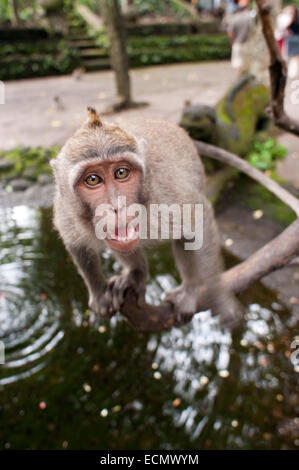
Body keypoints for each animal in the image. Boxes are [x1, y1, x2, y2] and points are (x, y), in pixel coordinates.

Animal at [51, 107, 241, 328]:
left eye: (121, 172)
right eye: (92, 179)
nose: (118, 206)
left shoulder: (167, 198)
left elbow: (200, 222)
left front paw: (219, 299)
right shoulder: (66, 210)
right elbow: (76, 244)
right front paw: (99, 293)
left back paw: (189, 288)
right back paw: (136, 273)